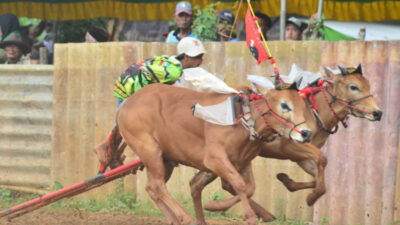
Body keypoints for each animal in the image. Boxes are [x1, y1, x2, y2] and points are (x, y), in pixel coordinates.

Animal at [115, 83, 312, 225]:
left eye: (303, 105)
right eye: (284, 105)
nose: (306, 133)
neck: (241, 120)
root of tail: (127, 103)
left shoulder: (242, 161)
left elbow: (249, 188)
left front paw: (214, 206)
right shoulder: (214, 160)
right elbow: (239, 185)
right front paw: (247, 216)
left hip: (165, 159)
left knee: (151, 187)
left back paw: (174, 220)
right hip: (150, 151)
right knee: (157, 185)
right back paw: (186, 218)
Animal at [189, 64, 382, 223]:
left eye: (368, 84)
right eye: (353, 86)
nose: (377, 113)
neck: (314, 112)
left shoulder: (301, 157)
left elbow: (318, 179)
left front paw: (287, 180)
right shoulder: (291, 145)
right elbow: (322, 159)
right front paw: (310, 198)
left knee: (198, 183)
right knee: (224, 184)